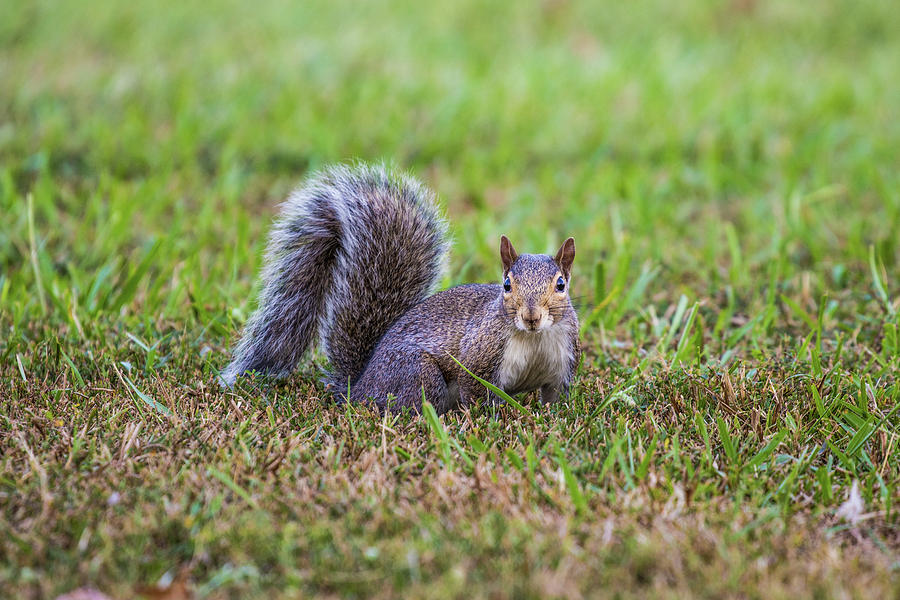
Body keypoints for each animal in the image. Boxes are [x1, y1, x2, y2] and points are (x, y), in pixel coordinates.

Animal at [221, 163, 580, 412]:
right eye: (506, 285)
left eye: (561, 284)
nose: (531, 317)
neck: (533, 339)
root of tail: (359, 387)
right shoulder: (479, 355)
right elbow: (474, 391)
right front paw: (490, 421)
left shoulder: (562, 365)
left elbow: (555, 400)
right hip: (418, 374)